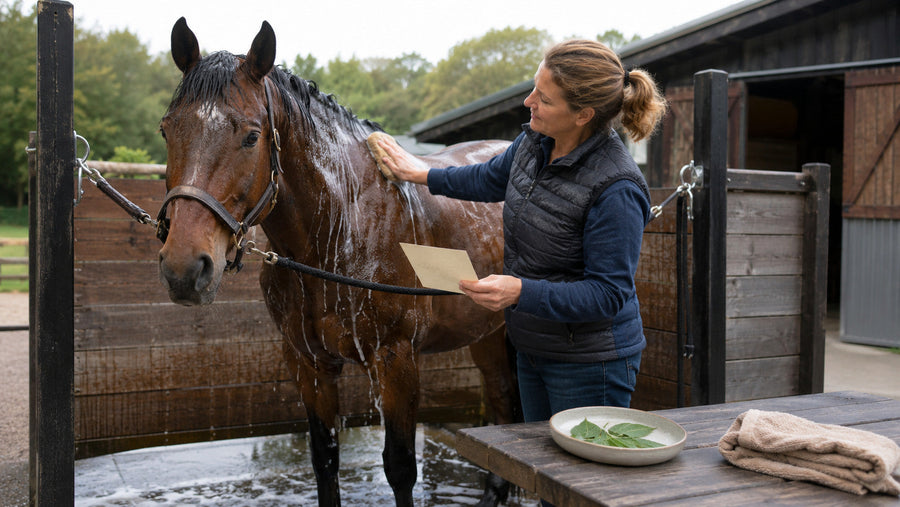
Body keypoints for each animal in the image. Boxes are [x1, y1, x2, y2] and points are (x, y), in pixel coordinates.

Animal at [157, 18, 518, 506]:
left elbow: (400, 467)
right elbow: (324, 459)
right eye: (167, 130)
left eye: (251, 136)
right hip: (488, 332)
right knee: (502, 402)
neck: (341, 229)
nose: (184, 269)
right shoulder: (308, 363)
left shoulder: (395, 360)